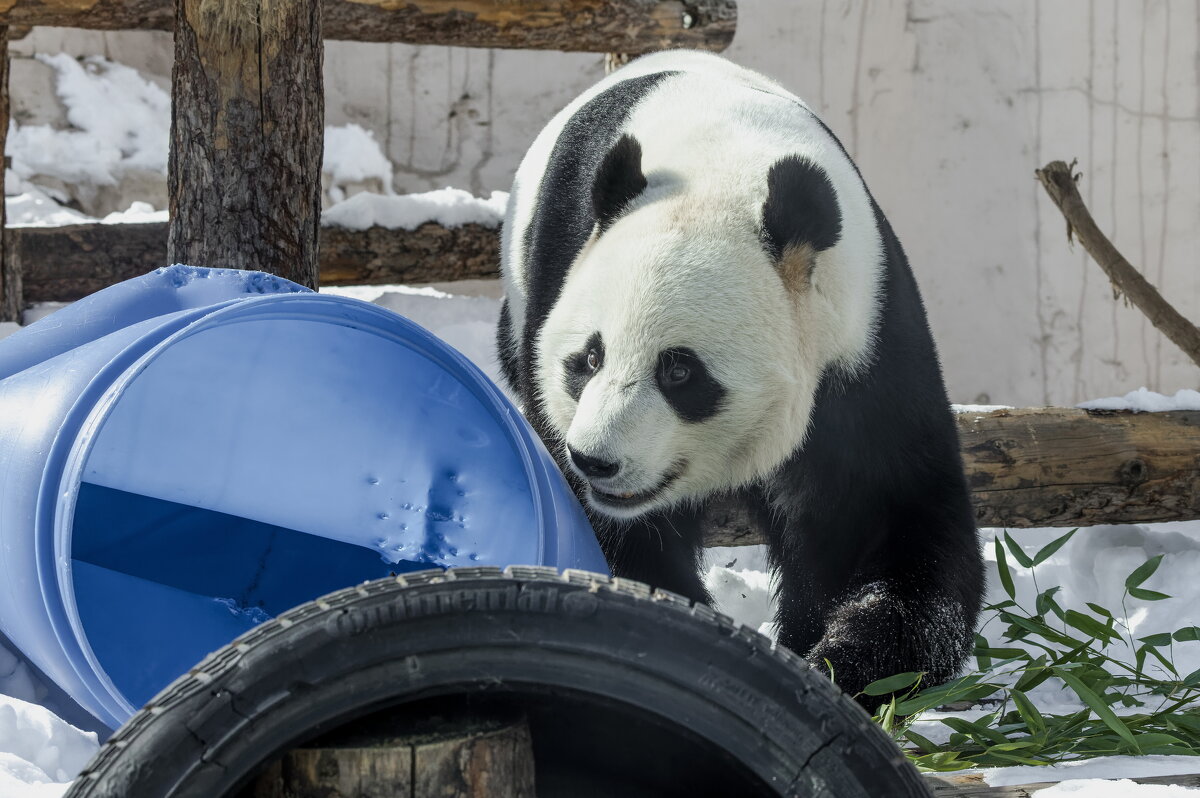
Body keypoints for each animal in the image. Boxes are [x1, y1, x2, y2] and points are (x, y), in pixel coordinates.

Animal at [496, 49, 984, 696]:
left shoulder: (864, 343)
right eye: (589, 359)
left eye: (679, 371)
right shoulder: (561, 269)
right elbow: (616, 538)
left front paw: (837, 661)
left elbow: (889, 519)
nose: (596, 460)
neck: (723, 170)